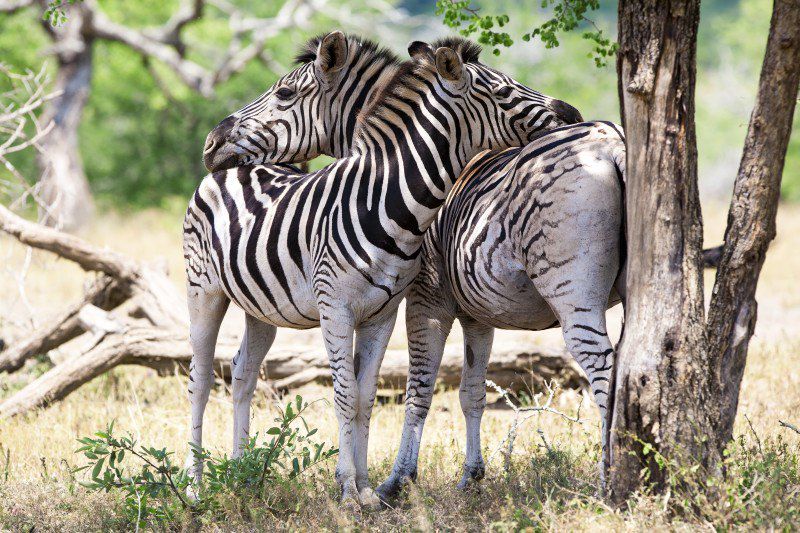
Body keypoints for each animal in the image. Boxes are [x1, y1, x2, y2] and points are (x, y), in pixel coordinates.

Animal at [183, 33, 580, 508]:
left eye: (284, 93)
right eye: (504, 91)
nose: (211, 143)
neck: (384, 200)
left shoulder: (385, 311)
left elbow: (368, 395)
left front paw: (367, 488)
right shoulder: (350, 307)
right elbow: (359, 393)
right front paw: (358, 487)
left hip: (262, 307)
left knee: (242, 373)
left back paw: (242, 476)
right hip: (204, 292)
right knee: (201, 379)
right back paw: (195, 487)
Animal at [376, 120, 624, 498]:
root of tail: (612, 145)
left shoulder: (427, 297)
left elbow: (419, 391)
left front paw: (398, 480)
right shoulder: (478, 314)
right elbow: (471, 392)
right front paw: (471, 476)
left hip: (572, 293)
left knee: (606, 375)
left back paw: (607, 481)